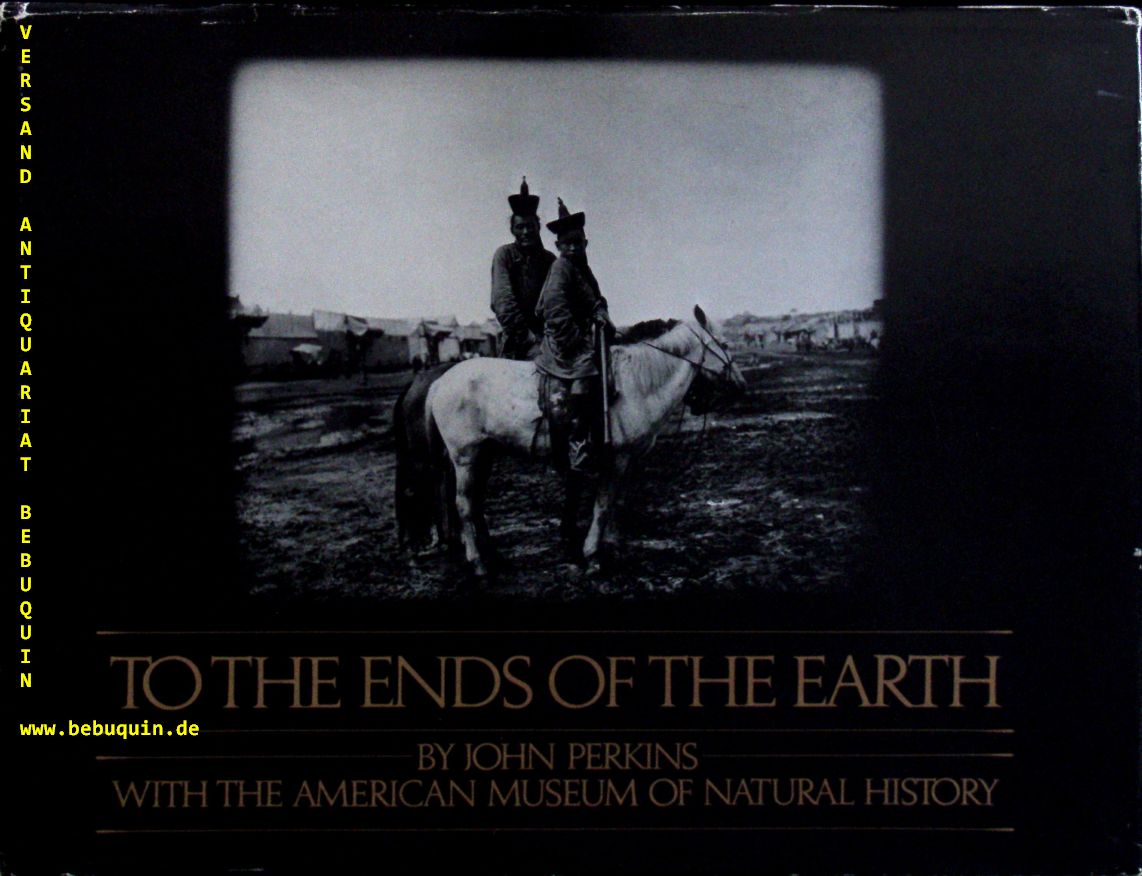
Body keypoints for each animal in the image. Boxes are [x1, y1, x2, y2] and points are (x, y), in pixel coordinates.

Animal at [421, 305, 746, 579]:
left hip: (485, 454)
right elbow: (602, 506)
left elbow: (618, 503)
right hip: (465, 457)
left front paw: (614, 546)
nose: (741, 385)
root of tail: (440, 382)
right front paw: (592, 555)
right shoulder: (615, 460)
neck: (638, 384)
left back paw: (493, 557)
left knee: (475, 504)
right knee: (464, 504)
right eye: (725, 344)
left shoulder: (629, 461)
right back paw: (479, 564)